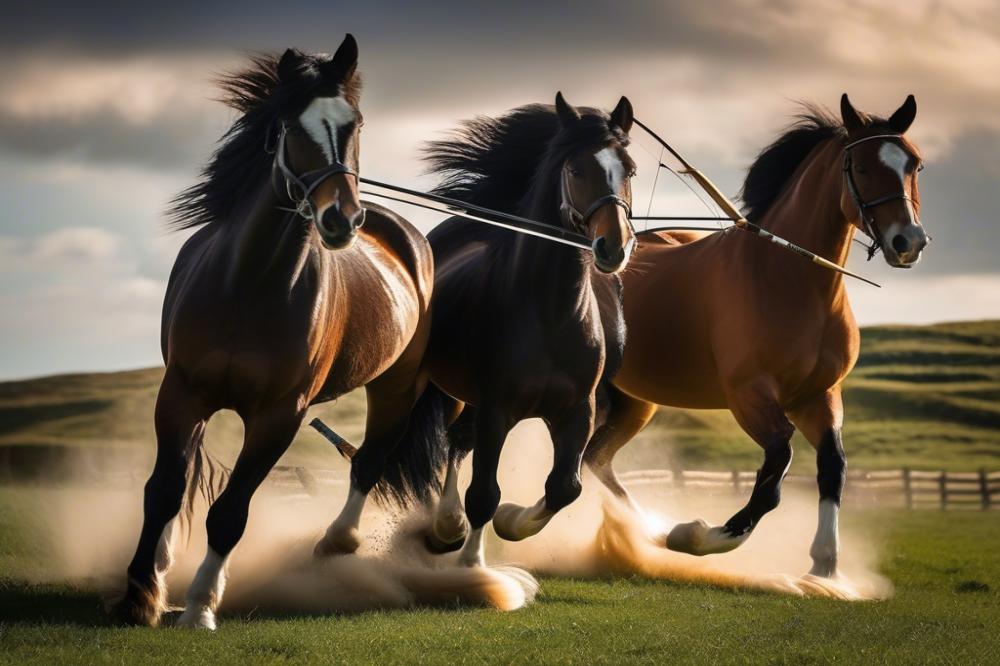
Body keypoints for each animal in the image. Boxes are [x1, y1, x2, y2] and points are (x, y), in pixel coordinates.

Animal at [114, 36, 434, 628]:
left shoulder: (279, 415)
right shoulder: (182, 393)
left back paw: (336, 542)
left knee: (370, 460)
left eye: (355, 123)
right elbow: (165, 490)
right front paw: (140, 596)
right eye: (290, 125)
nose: (341, 219)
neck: (249, 285)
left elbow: (230, 513)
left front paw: (200, 606)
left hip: (397, 386)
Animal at [378, 92, 636, 564]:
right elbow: (483, 494)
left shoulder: (578, 411)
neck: (551, 314)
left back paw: (448, 528)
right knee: (452, 444)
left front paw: (512, 521)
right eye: (576, 169)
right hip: (445, 391)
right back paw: (446, 529)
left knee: (459, 442)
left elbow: (564, 488)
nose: (614, 247)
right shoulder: (496, 409)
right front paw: (473, 563)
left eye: (629, 169)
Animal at [584, 94, 928, 576]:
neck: (789, 280)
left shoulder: (817, 395)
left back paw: (645, 529)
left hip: (635, 402)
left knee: (595, 459)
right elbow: (776, 468)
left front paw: (825, 565)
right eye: (860, 167)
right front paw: (700, 535)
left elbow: (833, 465)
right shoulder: (748, 394)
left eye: (915, 164)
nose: (908, 242)